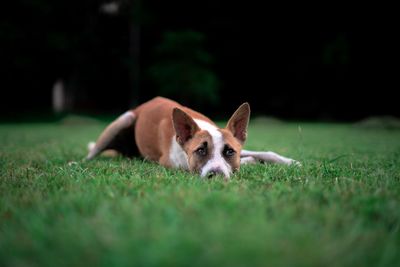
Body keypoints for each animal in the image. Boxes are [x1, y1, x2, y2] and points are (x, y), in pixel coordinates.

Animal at [87, 97, 300, 179]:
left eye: (230, 151)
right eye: (201, 150)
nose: (216, 175)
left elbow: (265, 153)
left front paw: (291, 162)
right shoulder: (173, 163)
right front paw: (252, 162)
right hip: (124, 119)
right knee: (91, 153)